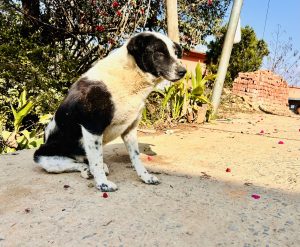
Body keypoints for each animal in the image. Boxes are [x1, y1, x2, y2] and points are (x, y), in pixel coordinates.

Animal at [34, 31, 186, 192]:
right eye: (159, 52)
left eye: (176, 53)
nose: (183, 71)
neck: (129, 77)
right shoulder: (92, 128)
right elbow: (96, 161)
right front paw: (103, 184)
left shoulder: (130, 129)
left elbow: (136, 158)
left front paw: (145, 177)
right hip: (44, 158)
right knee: (78, 164)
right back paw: (89, 171)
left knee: (86, 162)